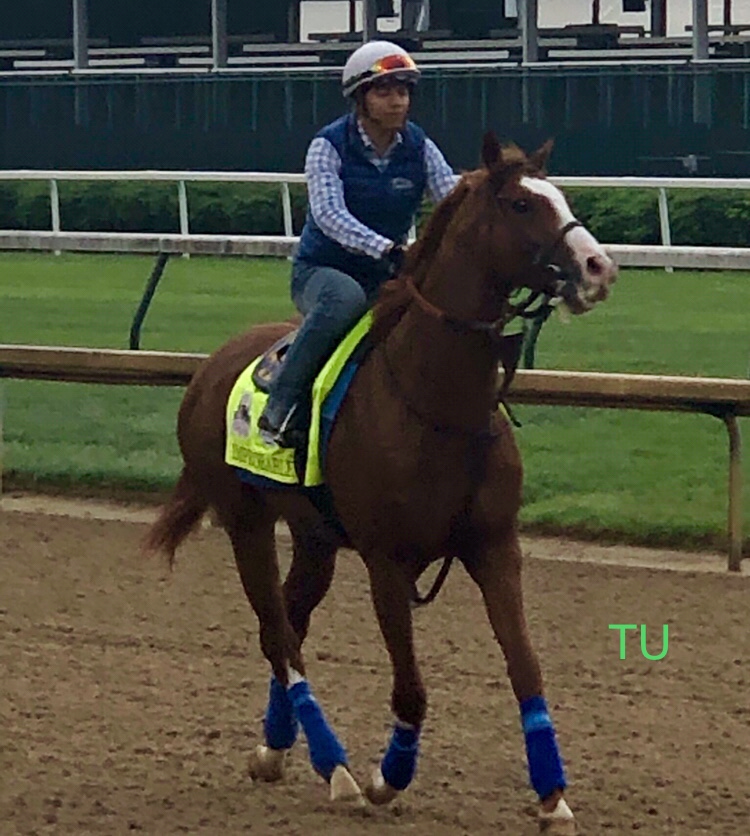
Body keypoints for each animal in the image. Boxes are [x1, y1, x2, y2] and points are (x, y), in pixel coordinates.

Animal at [144, 134, 620, 832]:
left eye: (560, 195)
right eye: (520, 204)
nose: (596, 267)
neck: (439, 402)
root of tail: (210, 368)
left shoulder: (494, 546)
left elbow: (526, 668)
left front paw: (553, 796)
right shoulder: (387, 562)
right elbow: (412, 688)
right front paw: (386, 776)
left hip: (314, 537)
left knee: (288, 624)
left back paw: (275, 748)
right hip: (246, 522)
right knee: (278, 634)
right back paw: (335, 767)